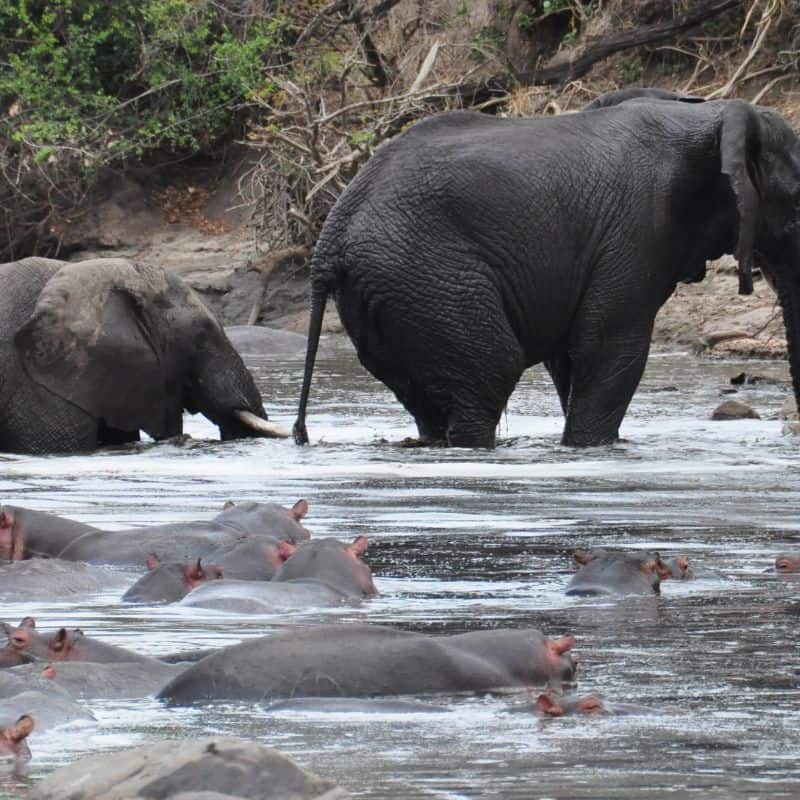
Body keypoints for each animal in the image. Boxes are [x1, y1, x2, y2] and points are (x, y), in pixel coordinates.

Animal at [296, 92, 800, 450]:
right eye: (796, 200)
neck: (707, 115)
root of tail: (330, 234)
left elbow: (570, 356)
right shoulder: (637, 229)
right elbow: (608, 346)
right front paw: (589, 448)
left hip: (389, 292)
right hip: (425, 274)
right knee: (490, 372)